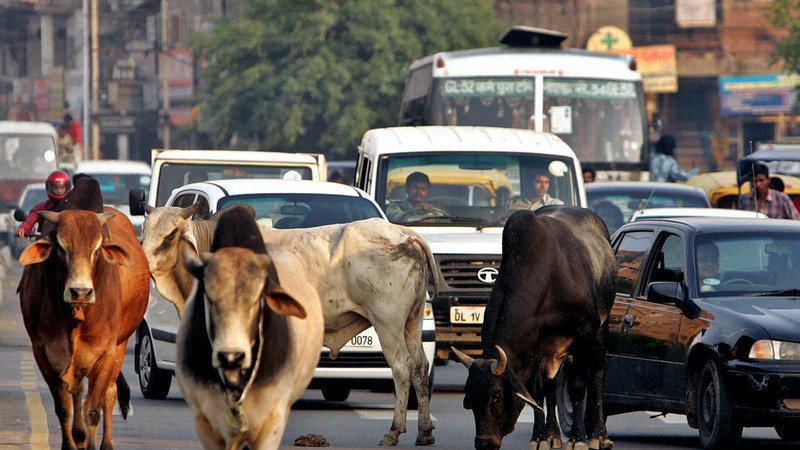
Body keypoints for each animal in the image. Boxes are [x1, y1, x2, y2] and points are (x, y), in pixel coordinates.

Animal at [18, 179, 150, 450]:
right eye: (60, 246)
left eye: (98, 248)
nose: (80, 291)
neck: (73, 317)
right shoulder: (43, 351)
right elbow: (64, 408)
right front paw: (71, 443)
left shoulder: (106, 352)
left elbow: (93, 410)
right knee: (77, 391)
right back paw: (78, 435)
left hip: (120, 344)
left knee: (109, 394)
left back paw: (105, 443)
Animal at [142, 204, 438, 446]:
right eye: (144, 231)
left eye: (170, 234)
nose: (143, 263)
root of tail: (406, 235)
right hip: (412, 322)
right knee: (420, 367)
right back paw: (424, 431)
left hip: (387, 323)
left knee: (402, 368)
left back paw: (394, 431)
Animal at [454, 207, 616, 450]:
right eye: (469, 397)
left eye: (497, 395)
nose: (484, 442)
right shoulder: (536, 347)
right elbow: (537, 392)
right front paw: (540, 437)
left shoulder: (584, 332)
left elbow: (578, 386)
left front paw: (578, 438)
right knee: (550, 386)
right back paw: (553, 436)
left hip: (601, 330)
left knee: (597, 376)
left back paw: (599, 436)